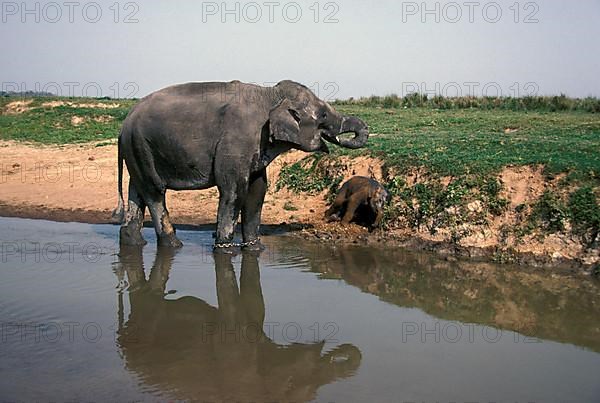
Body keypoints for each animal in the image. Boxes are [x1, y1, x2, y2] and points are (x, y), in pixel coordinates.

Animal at [110, 79, 368, 249]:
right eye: (323, 115)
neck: (270, 95)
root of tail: (123, 127)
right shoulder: (237, 141)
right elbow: (234, 190)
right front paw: (225, 249)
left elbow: (257, 190)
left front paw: (254, 249)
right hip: (141, 146)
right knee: (154, 192)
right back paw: (174, 245)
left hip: (138, 150)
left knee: (138, 190)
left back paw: (133, 242)